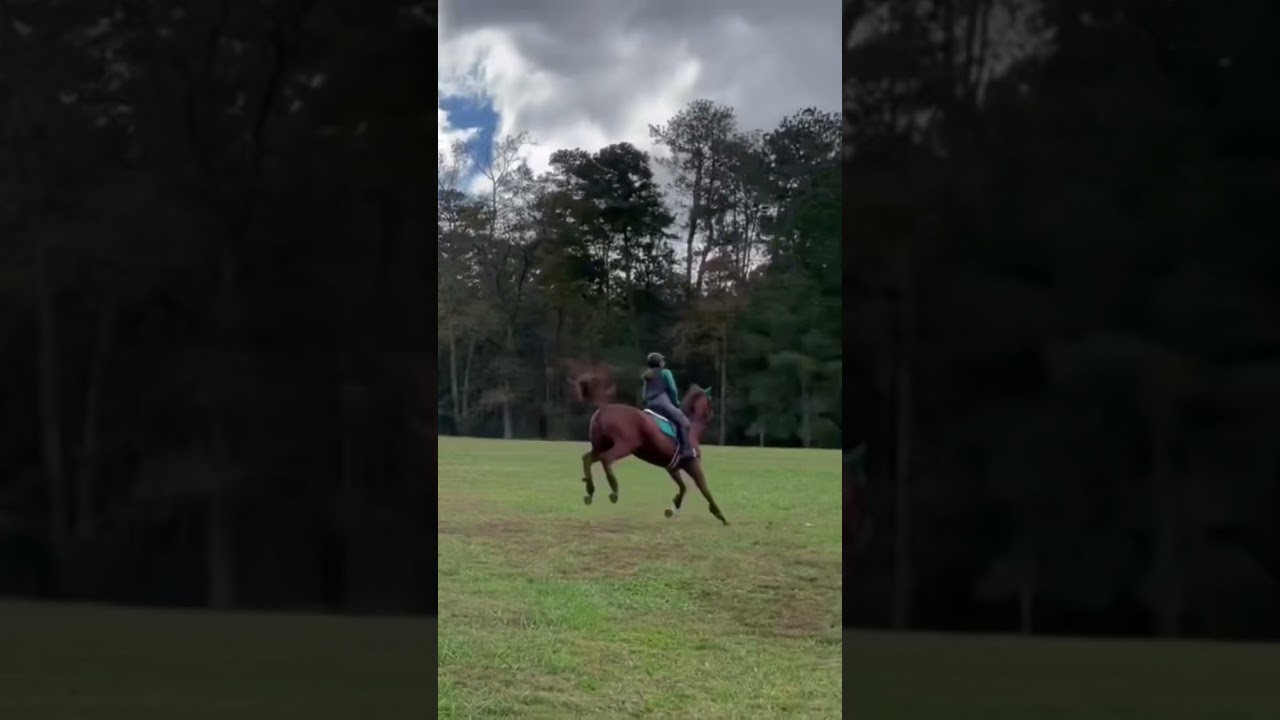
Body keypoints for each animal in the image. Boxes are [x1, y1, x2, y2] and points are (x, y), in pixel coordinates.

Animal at [576, 374, 728, 525]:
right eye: (709, 403)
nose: (712, 414)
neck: (691, 428)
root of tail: (603, 411)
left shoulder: (672, 468)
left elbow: (683, 487)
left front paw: (672, 508)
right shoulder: (692, 464)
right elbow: (704, 488)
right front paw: (720, 515)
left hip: (600, 447)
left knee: (587, 459)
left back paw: (589, 491)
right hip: (623, 447)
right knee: (606, 459)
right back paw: (614, 490)